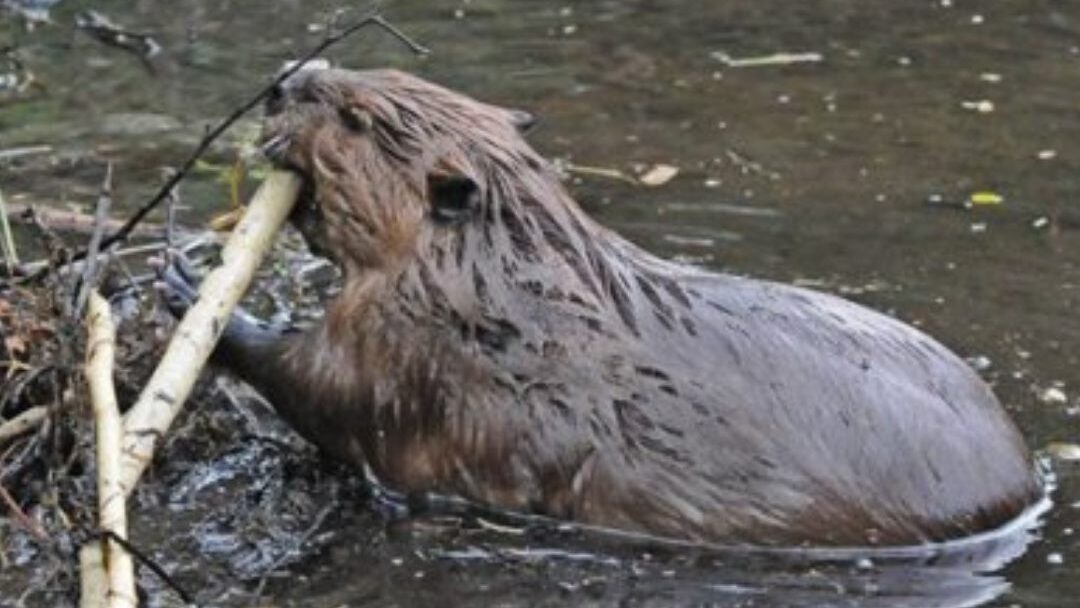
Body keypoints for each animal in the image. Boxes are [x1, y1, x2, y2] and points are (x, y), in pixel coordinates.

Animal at [162, 66, 1045, 546]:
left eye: (356, 118)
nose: (285, 81)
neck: (498, 273)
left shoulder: (416, 348)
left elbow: (329, 389)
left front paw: (188, 287)